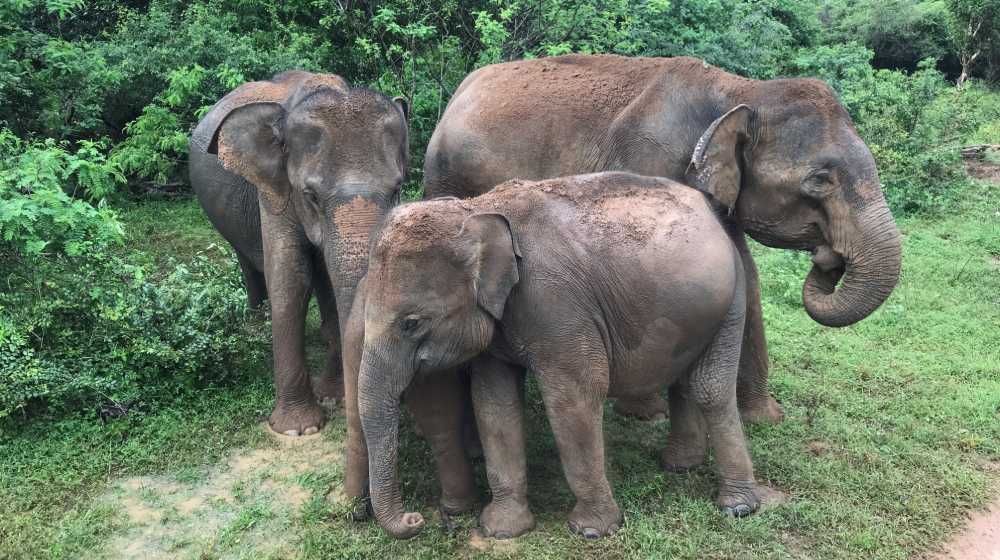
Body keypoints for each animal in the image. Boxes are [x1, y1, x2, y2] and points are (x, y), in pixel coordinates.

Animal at [188, 70, 408, 436]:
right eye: (311, 195)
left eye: (397, 189)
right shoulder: (273, 189)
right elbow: (290, 277)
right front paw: (297, 428)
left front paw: (334, 398)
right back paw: (257, 321)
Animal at [355, 172, 762, 539]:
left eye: (411, 323)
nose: (417, 519)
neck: (476, 209)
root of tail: (710, 211)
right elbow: (494, 402)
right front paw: (501, 530)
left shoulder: (558, 305)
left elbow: (573, 398)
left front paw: (592, 530)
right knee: (685, 379)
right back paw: (680, 465)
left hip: (732, 296)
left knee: (710, 389)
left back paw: (738, 506)